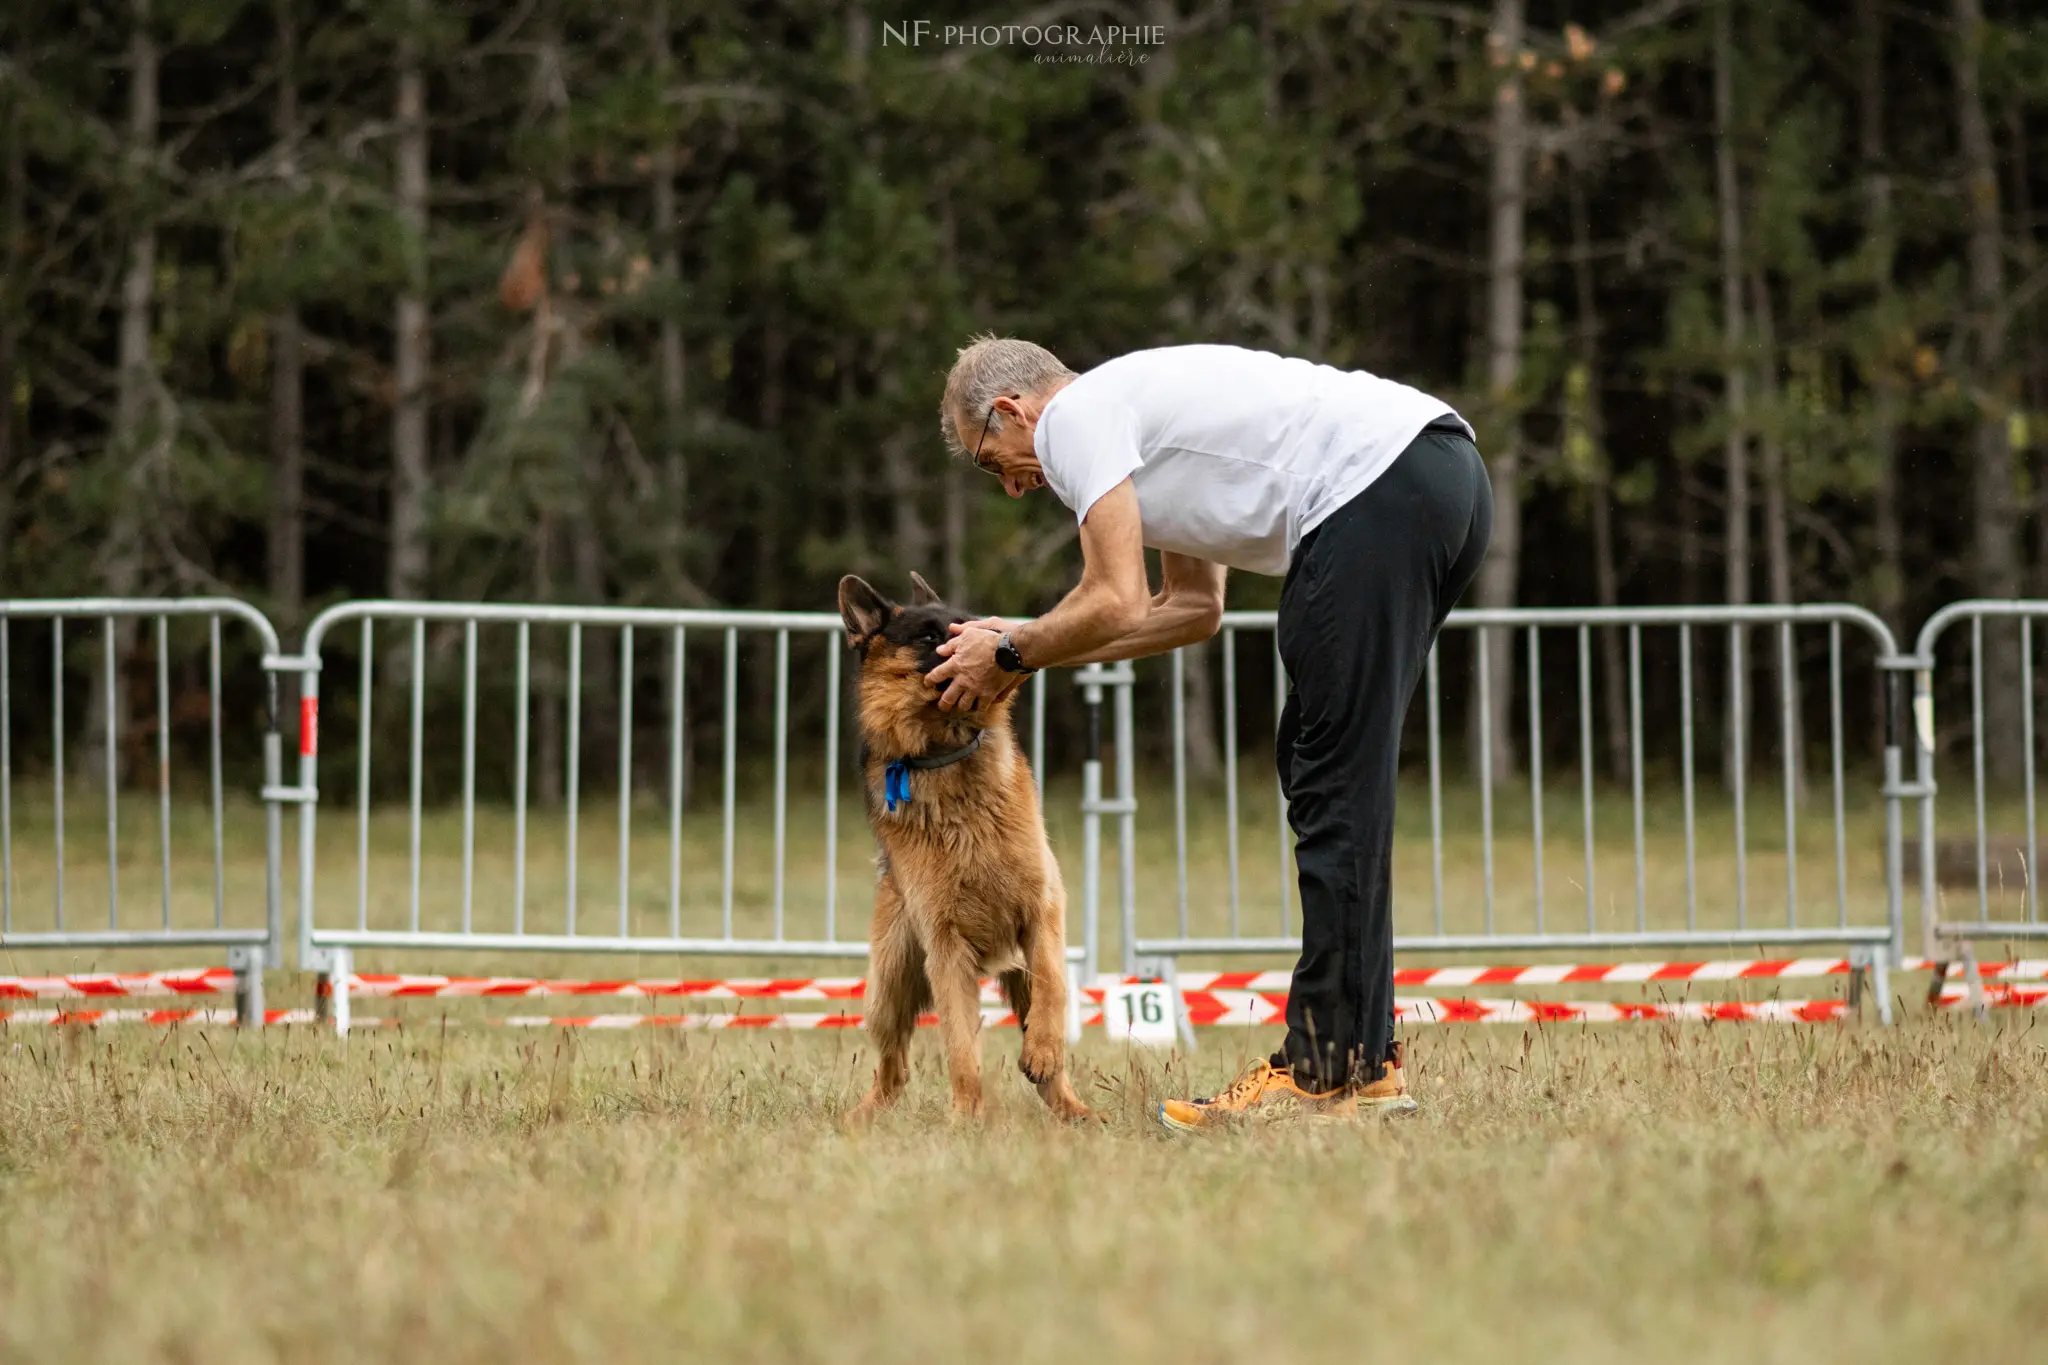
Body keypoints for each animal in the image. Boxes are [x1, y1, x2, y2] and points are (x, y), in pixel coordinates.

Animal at [835, 573, 1097, 1121]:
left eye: (969, 622)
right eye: (929, 636)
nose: (1001, 640)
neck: (945, 754)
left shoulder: (1043, 911)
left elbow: (1053, 985)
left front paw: (1042, 1052)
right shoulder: (946, 951)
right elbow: (959, 1045)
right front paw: (965, 1119)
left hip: (1010, 973)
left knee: (1048, 1049)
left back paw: (1072, 1106)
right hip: (888, 988)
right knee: (894, 1066)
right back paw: (865, 1115)